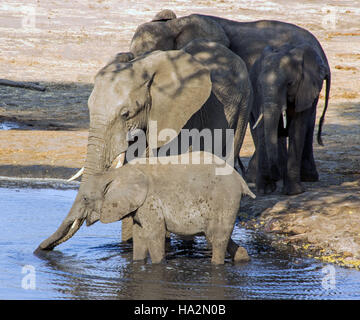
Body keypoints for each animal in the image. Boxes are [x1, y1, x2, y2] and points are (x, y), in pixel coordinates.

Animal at [95, 152, 255, 264]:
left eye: (90, 200)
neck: (121, 172)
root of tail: (240, 180)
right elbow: (139, 235)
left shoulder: (150, 201)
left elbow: (155, 233)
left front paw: (159, 264)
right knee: (216, 236)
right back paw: (243, 257)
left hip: (225, 201)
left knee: (218, 238)